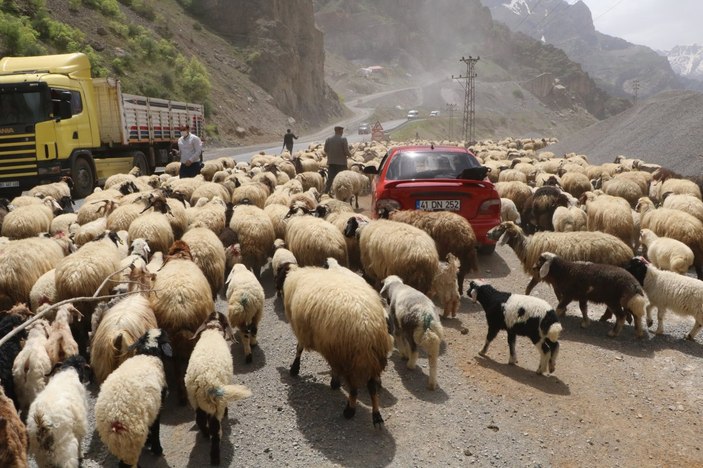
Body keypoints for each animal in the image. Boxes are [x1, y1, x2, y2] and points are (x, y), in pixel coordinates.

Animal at [94, 330, 171, 468]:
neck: (148, 353)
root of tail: (115, 418)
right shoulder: (158, 406)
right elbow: (155, 427)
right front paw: (156, 448)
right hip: (132, 441)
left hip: (117, 442)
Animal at [186, 310, 252, 464]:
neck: (213, 330)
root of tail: (203, 382)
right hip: (216, 405)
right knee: (215, 432)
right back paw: (215, 458)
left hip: (194, 399)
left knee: (200, 419)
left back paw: (205, 435)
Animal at [280, 266, 394, 426]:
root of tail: (368, 328)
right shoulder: (332, 348)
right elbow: (333, 367)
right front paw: (334, 381)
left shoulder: (304, 331)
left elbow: (299, 349)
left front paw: (294, 369)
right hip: (372, 357)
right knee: (372, 387)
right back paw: (376, 416)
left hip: (351, 358)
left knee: (354, 388)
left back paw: (349, 411)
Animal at [490, 221, 632, 294]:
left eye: (500, 228)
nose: (487, 233)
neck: (527, 247)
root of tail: (626, 250)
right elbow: (530, 288)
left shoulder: (542, 274)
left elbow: (529, 289)